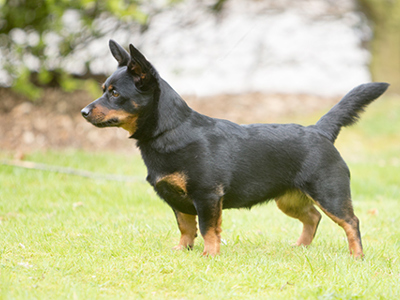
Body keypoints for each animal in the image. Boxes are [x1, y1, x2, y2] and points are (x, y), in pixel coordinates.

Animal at [82, 40, 388, 258]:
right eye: (104, 89)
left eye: (115, 93)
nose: (83, 111)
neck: (171, 130)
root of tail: (319, 130)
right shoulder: (177, 200)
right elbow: (185, 227)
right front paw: (182, 251)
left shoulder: (206, 196)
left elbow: (207, 228)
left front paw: (209, 255)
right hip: (289, 199)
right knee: (313, 217)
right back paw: (301, 247)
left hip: (329, 194)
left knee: (351, 222)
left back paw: (356, 257)